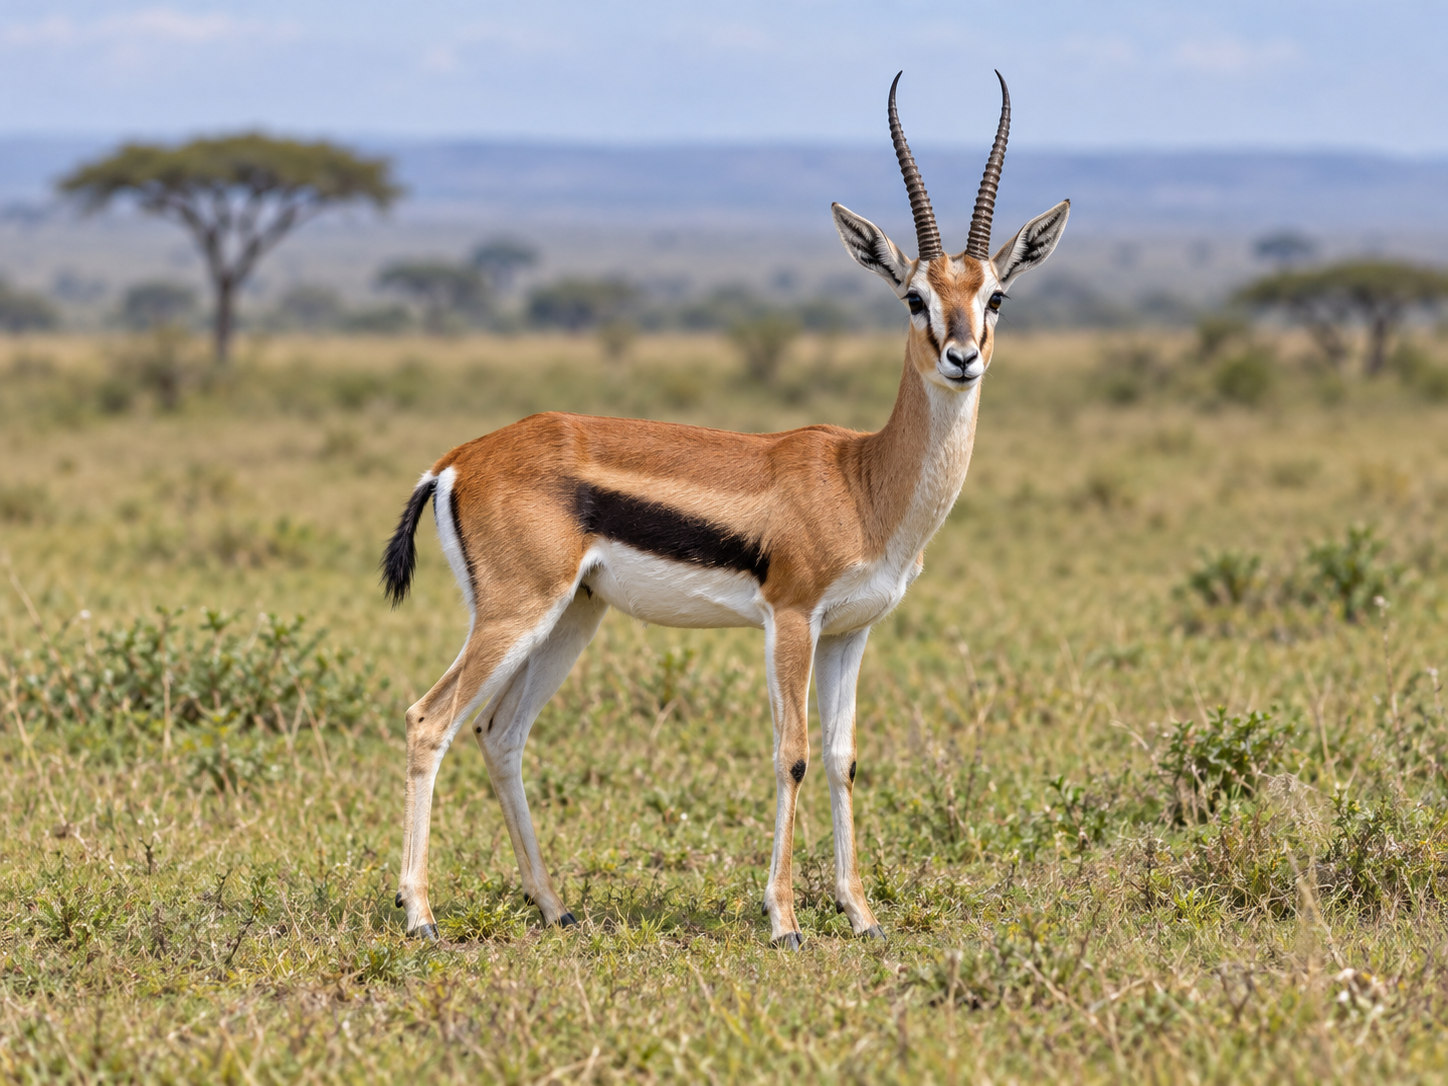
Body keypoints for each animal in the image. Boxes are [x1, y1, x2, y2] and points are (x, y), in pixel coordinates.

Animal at [381, 72, 1068, 947]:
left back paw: (554, 906)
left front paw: (861, 914)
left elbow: (842, 756)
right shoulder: (792, 619)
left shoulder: (851, 632)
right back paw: (421, 915)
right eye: (914, 297)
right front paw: (785, 920)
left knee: (500, 735)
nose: (962, 357)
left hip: (572, 616)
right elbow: (792, 753)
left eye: (996, 295)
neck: (863, 480)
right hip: (514, 614)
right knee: (428, 721)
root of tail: (457, 460)